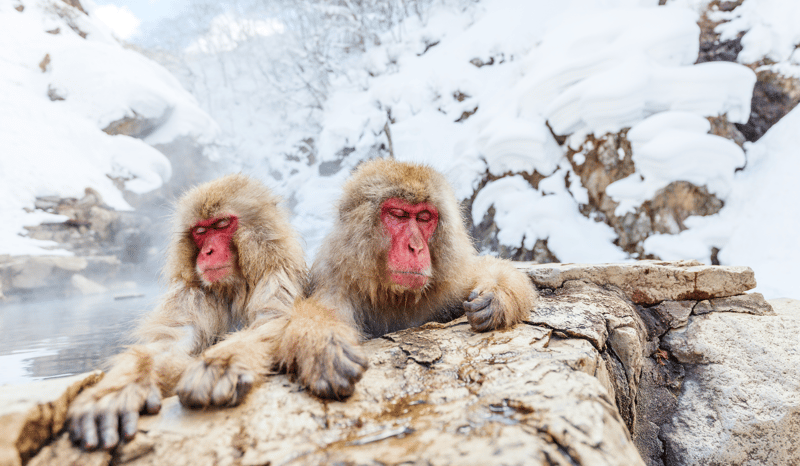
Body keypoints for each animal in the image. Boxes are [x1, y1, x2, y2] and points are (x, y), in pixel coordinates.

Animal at [68, 173, 306, 450]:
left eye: (222, 224)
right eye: (200, 231)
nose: (208, 252)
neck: (233, 287)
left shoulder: (277, 276)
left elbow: (272, 322)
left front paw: (220, 364)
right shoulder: (192, 293)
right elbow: (172, 343)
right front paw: (117, 390)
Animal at [276, 158, 536, 398]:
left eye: (423, 217)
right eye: (398, 215)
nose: (416, 247)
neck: (394, 295)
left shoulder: (450, 284)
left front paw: (497, 296)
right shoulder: (336, 288)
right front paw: (324, 344)